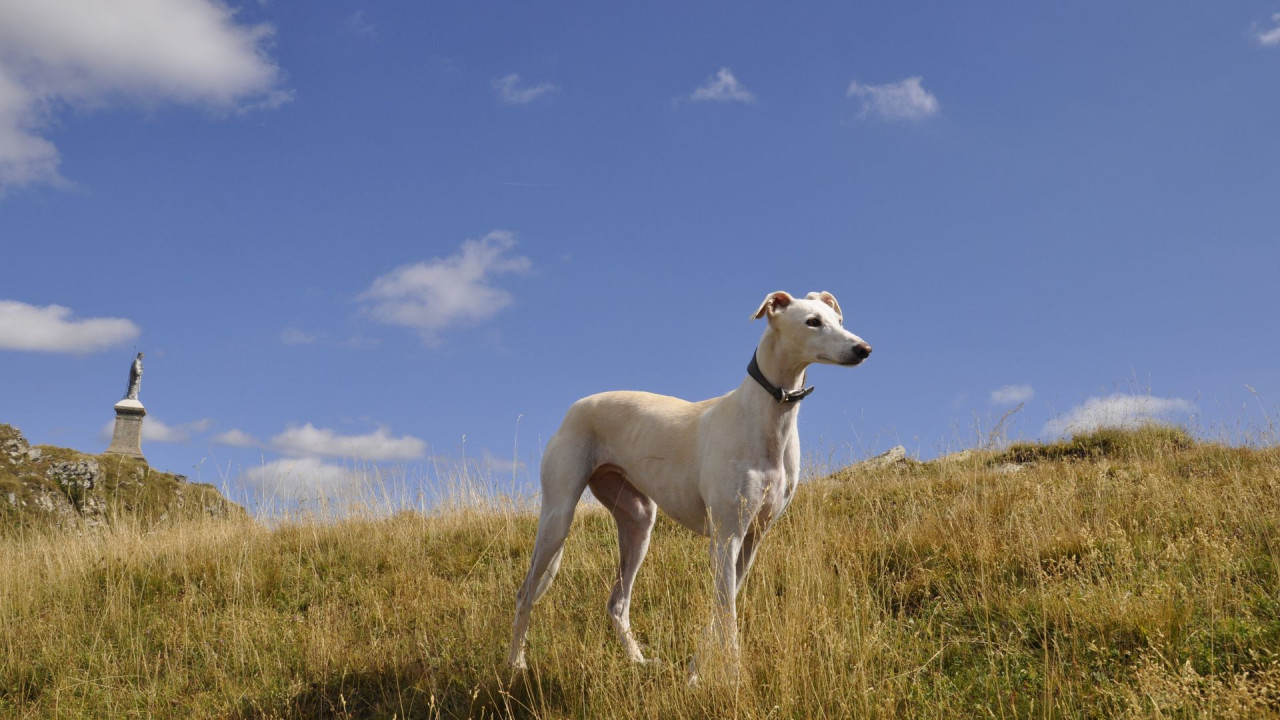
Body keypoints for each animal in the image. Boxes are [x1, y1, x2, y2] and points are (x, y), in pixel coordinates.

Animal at [506, 288, 870, 676]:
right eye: (812, 322)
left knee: (617, 603)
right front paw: (733, 677)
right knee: (525, 593)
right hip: (557, 518)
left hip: (638, 522)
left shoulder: (752, 539)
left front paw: (696, 672)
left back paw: (638, 660)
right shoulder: (726, 537)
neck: (766, 417)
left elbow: (719, 609)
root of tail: (575, 407)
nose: (864, 349)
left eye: (839, 320)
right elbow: (727, 615)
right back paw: (516, 663)